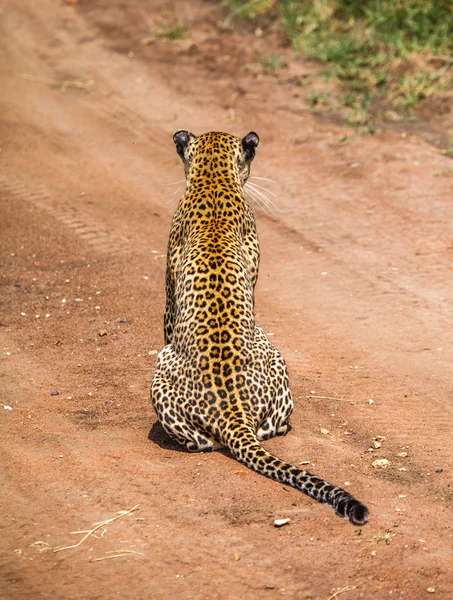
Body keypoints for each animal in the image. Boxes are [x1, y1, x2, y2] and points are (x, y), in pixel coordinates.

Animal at [150, 130, 370, 524]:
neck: (214, 178)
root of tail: (235, 414)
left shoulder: (170, 296)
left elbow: (167, 324)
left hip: (165, 370)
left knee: (206, 442)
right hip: (273, 355)